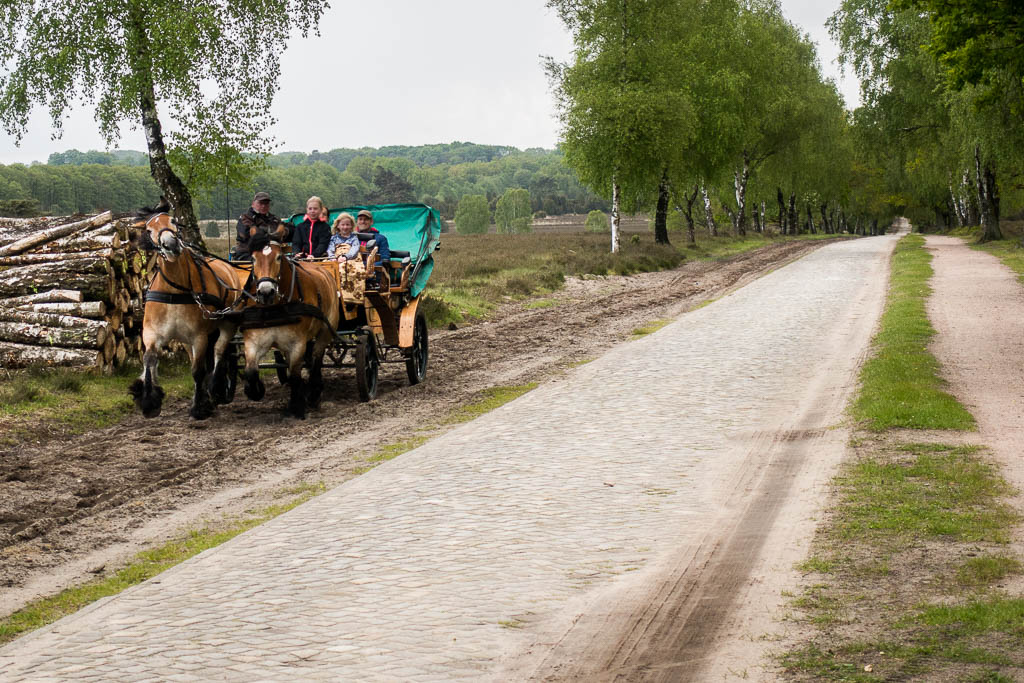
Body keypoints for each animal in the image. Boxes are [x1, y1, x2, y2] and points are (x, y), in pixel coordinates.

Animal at [129, 204, 248, 417]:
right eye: (149, 230)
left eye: (173, 221)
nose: (170, 245)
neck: (176, 290)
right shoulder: (153, 334)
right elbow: (149, 359)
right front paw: (149, 402)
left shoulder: (198, 336)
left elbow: (197, 371)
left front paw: (199, 407)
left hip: (227, 324)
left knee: (219, 351)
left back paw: (216, 389)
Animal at [242, 225, 339, 417]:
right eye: (253, 258)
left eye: (279, 257)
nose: (266, 292)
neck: (274, 308)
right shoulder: (254, 341)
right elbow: (250, 371)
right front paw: (255, 390)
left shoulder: (297, 343)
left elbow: (295, 375)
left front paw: (296, 405)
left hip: (325, 331)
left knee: (316, 358)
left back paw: (314, 392)